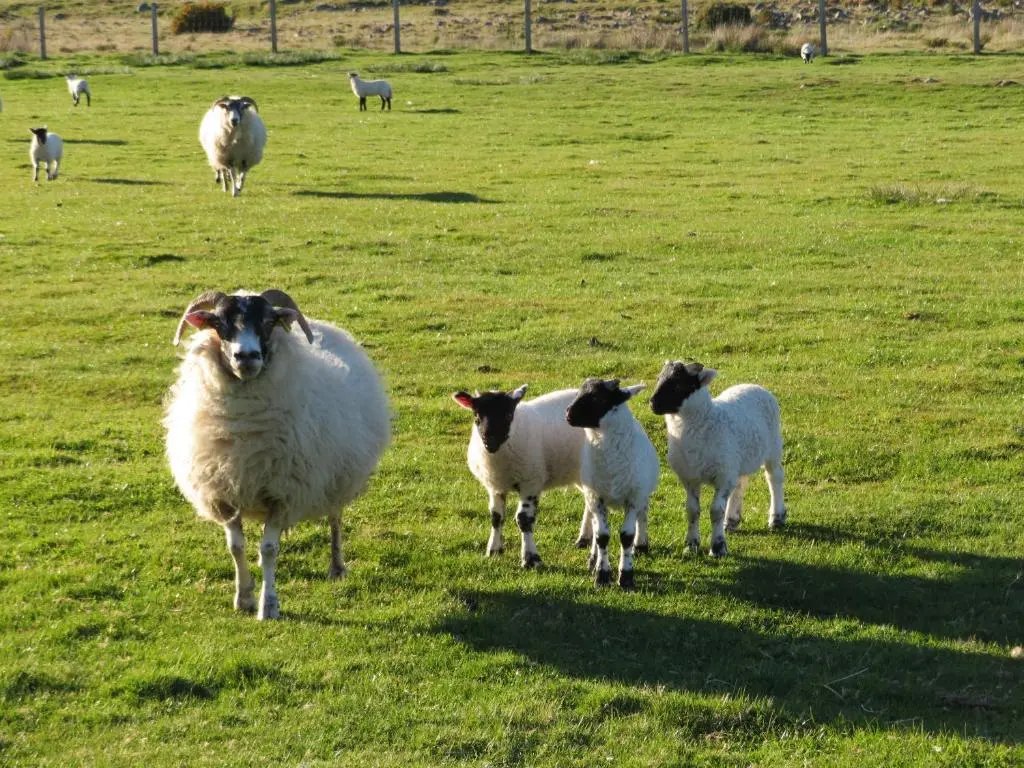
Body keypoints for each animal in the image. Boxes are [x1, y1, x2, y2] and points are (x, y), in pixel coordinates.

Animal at [164, 289, 390, 620]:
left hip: (336, 476)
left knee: (334, 519)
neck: (244, 430)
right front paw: (243, 598)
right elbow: (236, 547)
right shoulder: (223, 493)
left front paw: (268, 605)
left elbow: (269, 550)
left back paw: (336, 567)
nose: (246, 357)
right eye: (218, 322)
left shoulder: (283, 495)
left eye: (269, 321)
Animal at [452, 386, 595, 568]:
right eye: (476, 415)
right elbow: (496, 517)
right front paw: (493, 550)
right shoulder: (495, 486)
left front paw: (531, 559)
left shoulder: (531, 482)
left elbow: (524, 519)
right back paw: (584, 539)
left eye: (508, 415)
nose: (490, 441)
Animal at [565, 378, 659, 589]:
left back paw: (641, 544)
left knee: (643, 514)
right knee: (594, 524)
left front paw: (626, 577)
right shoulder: (595, 496)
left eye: (598, 398)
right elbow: (602, 536)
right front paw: (602, 574)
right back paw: (593, 558)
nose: (568, 414)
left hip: (641, 492)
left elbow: (626, 536)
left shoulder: (634, 496)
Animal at [650, 361, 786, 559]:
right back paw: (731, 520)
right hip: (736, 460)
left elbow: (715, 511)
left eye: (680, 384)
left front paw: (718, 547)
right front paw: (691, 545)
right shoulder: (690, 478)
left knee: (774, 478)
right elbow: (692, 511)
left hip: (773, 447)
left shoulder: (722, 477)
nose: (653, 404)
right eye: (659, 378)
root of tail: (754, 385)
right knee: (740, 484)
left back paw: (776, 518)